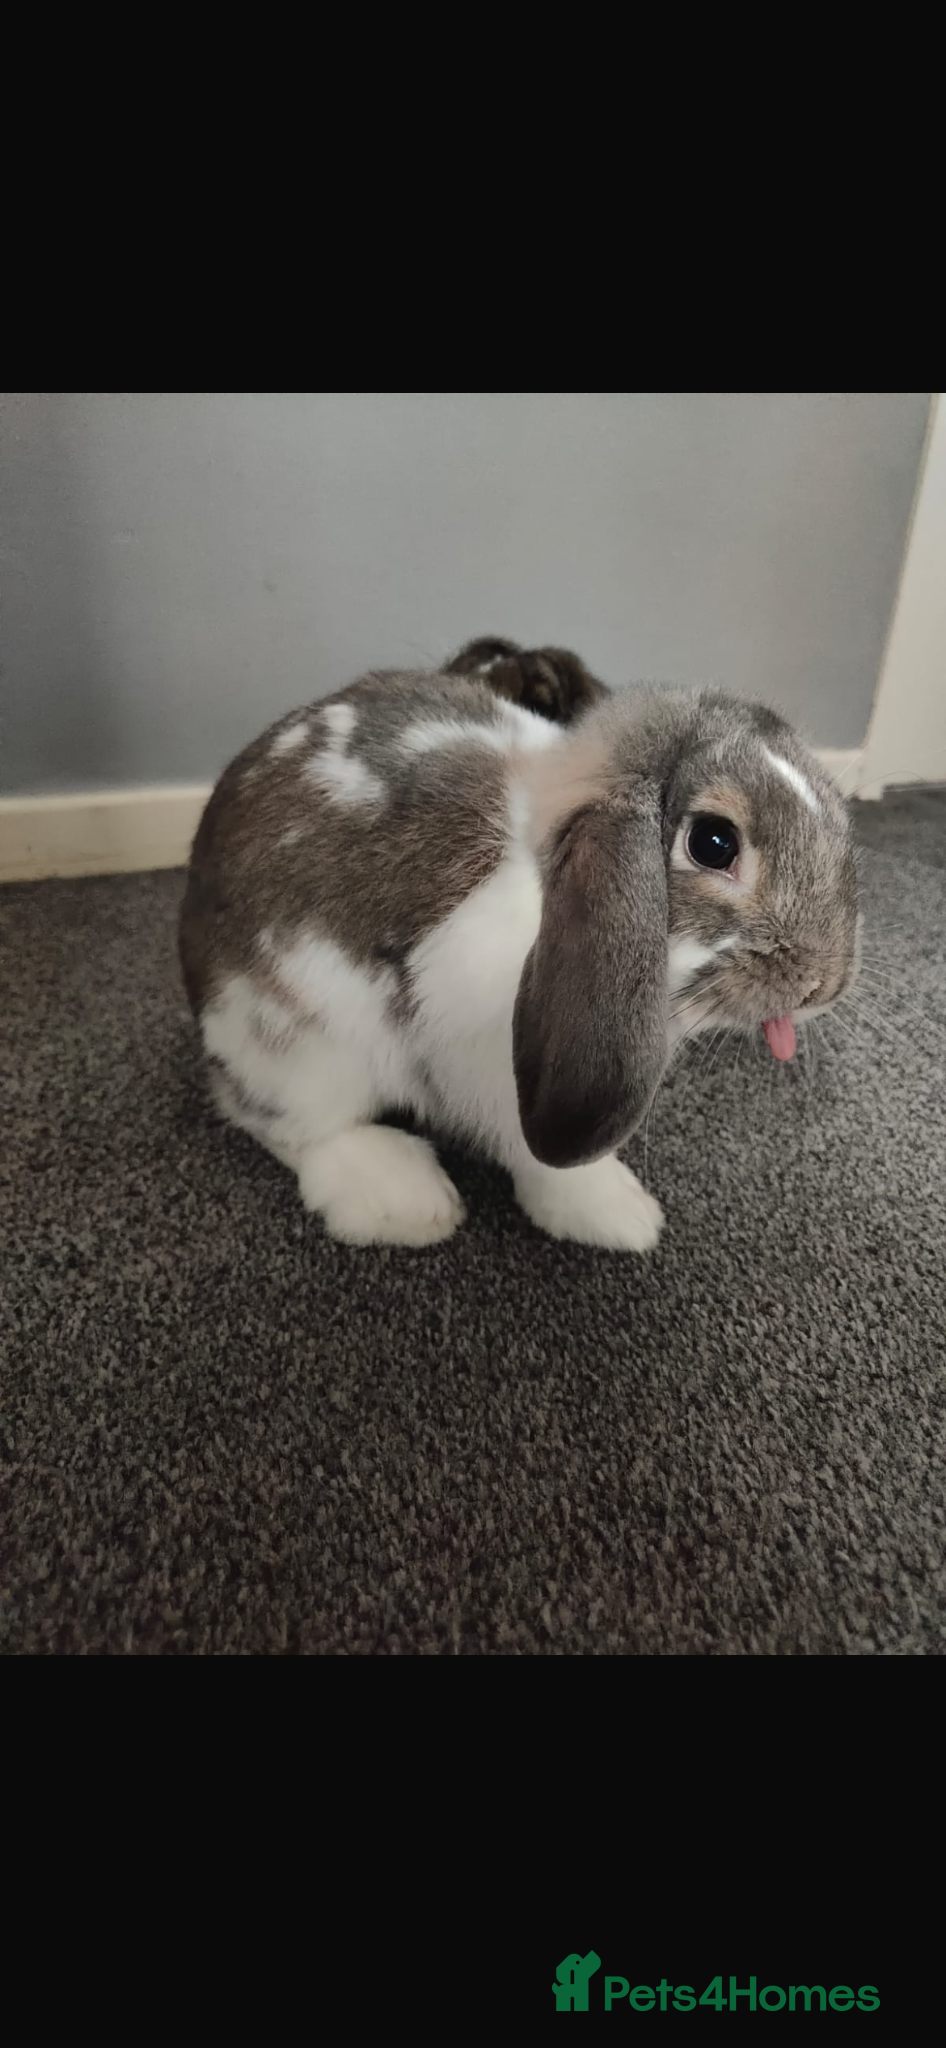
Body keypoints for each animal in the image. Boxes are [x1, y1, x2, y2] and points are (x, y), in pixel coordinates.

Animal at [179, 668, 859, 1250]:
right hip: (301, 1046)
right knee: (288, 1125)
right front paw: (617, 1215)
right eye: (713, 843)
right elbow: (542, 1157)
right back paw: (405, 1200)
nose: (822, 985)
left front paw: (622, 1213)